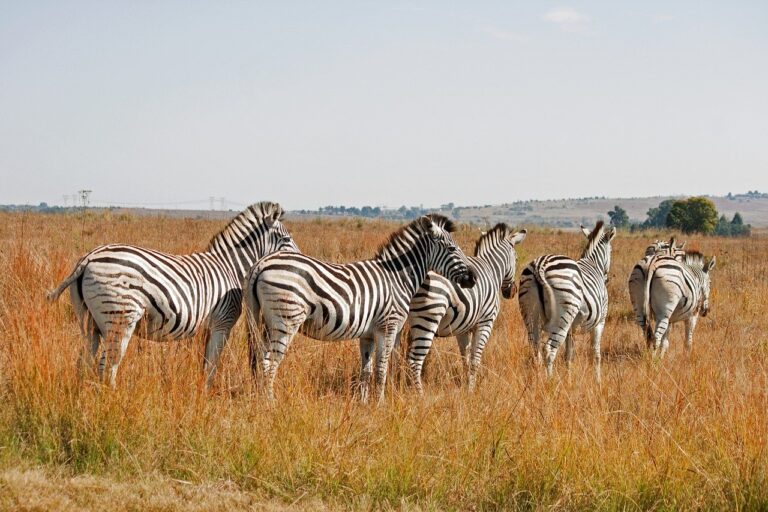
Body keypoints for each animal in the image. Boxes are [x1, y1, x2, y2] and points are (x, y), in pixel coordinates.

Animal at [45, 202, 296, 386]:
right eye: (286, 239)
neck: (230, 266)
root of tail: (88, 258)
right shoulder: (222, 323)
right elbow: (212, 364)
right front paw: (208, 394)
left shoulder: (209, 325)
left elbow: (205, 362)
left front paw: (201, 391)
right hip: (120, 319)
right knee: (108, 367)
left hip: (88, 322)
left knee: (84, 363)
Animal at [243, 215, 476, 404]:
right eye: (453, 249)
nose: (472, 278)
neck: (397, 278)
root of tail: (262, 263)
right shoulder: (388, 327)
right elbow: (381, 369)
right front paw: (380, 404)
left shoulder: (368, 335)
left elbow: (366, 370)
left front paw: (364, 404)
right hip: (285, 320)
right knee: (271, 363)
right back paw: (270, 403)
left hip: (263, 322)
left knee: (262, 360)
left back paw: (260, 399)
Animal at [404, 222, 524, 394]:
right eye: (516, 258)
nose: (512, 291)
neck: (491, 269)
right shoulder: (486, 322)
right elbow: (475, 359)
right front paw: (472, 390)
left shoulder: (463, 327)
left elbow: (465, 358)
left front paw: (466, 384)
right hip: (427, 319)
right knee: (415, 360)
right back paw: (418, 394)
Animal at [516, 222, 616, 382]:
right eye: (611, 250)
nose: (607, 279)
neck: (593, 264)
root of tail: (540, 266)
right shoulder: (600, 321)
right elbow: (596, 354)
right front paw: (597, 381)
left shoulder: (572, 328)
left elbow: (568, 355)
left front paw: (568, 379)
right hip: (563, 316)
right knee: (549, 349)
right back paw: (549, 382)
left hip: (530, 313)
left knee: (535, 348)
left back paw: (537, 380)